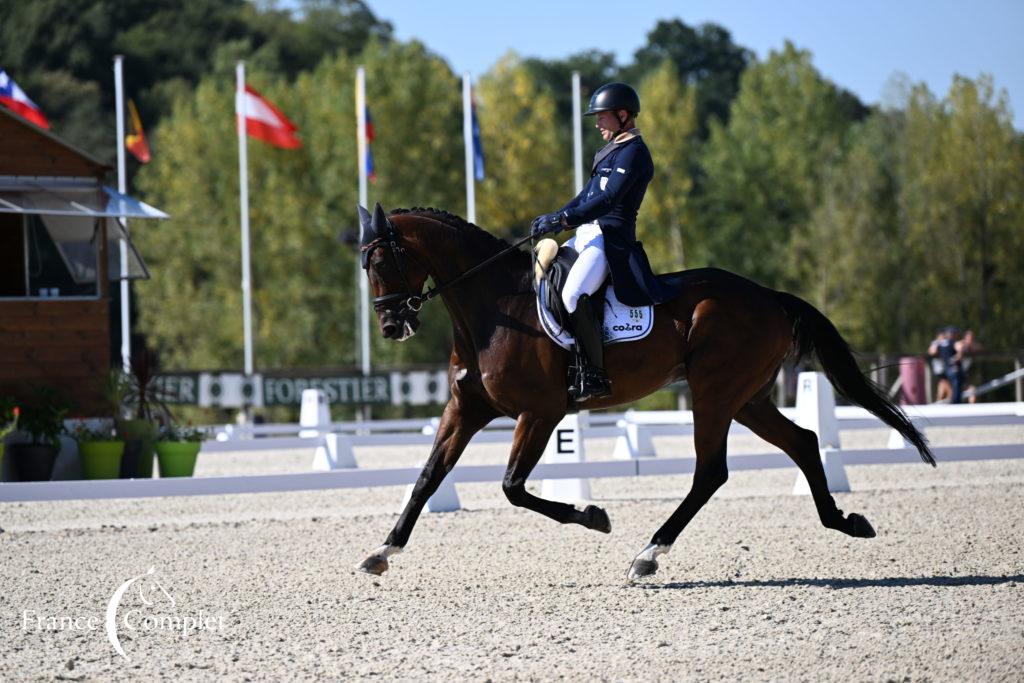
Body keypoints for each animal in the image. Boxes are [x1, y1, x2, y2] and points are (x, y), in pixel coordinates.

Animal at [354, 205, 937, 581]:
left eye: (382, 262)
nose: (391, 326)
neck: (494, 307)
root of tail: (769, 296)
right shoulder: (467, 408)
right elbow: (427, 478)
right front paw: (382, 551)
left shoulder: (539, 412)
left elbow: (513, 487)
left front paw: (594, 517)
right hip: (746, 397)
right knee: (803, 442)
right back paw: (844, 521)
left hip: (714, 393)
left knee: (711, 472)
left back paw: (648, 555)